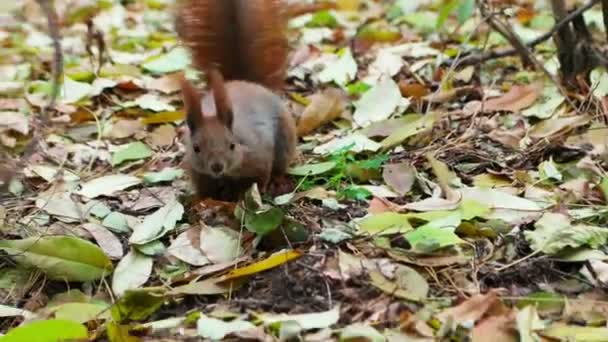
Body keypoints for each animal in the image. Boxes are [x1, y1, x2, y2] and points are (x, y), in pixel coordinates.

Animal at [175, 0, 302, 202]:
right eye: (195, 148)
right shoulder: (198, 171)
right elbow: (204, 190)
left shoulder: (259, 157)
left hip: (285, 140)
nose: (216, 167)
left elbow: (260, 178)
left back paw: (277, 182)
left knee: (280, 165)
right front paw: (201, 200)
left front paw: (247, 194)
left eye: (232, 145)